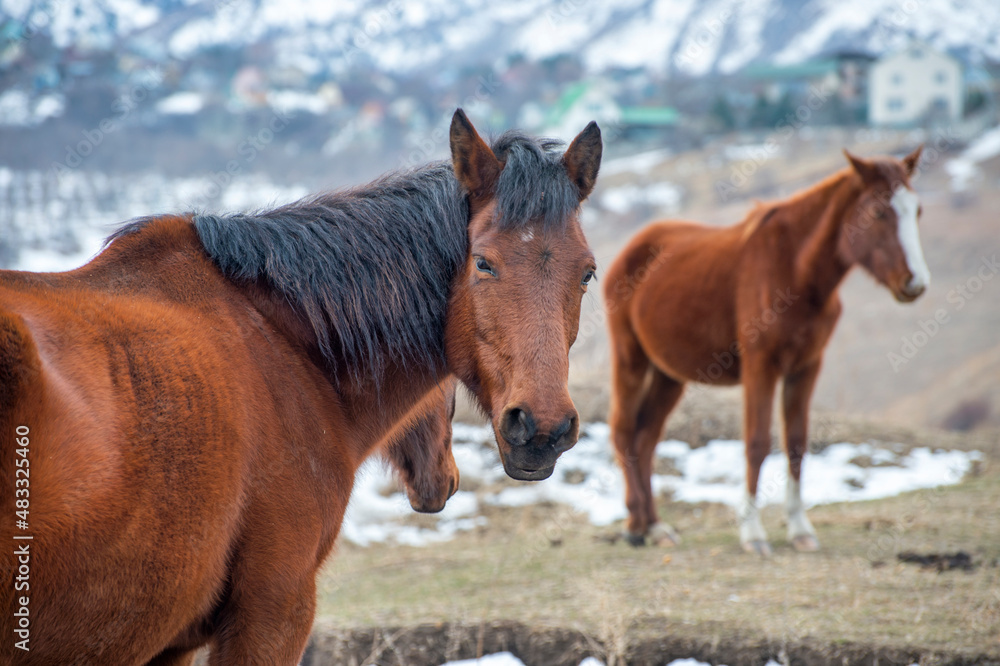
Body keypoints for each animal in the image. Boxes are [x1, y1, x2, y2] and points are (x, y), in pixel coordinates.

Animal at [604, 147, 927, 555]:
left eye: (917, 210)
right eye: (878, 212)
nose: (915, 283)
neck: (794, 270)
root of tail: (633, 249)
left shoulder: (806, 367)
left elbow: (796, 443)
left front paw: (800, 529)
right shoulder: (761, 367)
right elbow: (757, 443)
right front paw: (753, 533)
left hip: (668, 374)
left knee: (645, 439)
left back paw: (655, 526)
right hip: (630, 358)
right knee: (623, 431)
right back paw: (634, 526)